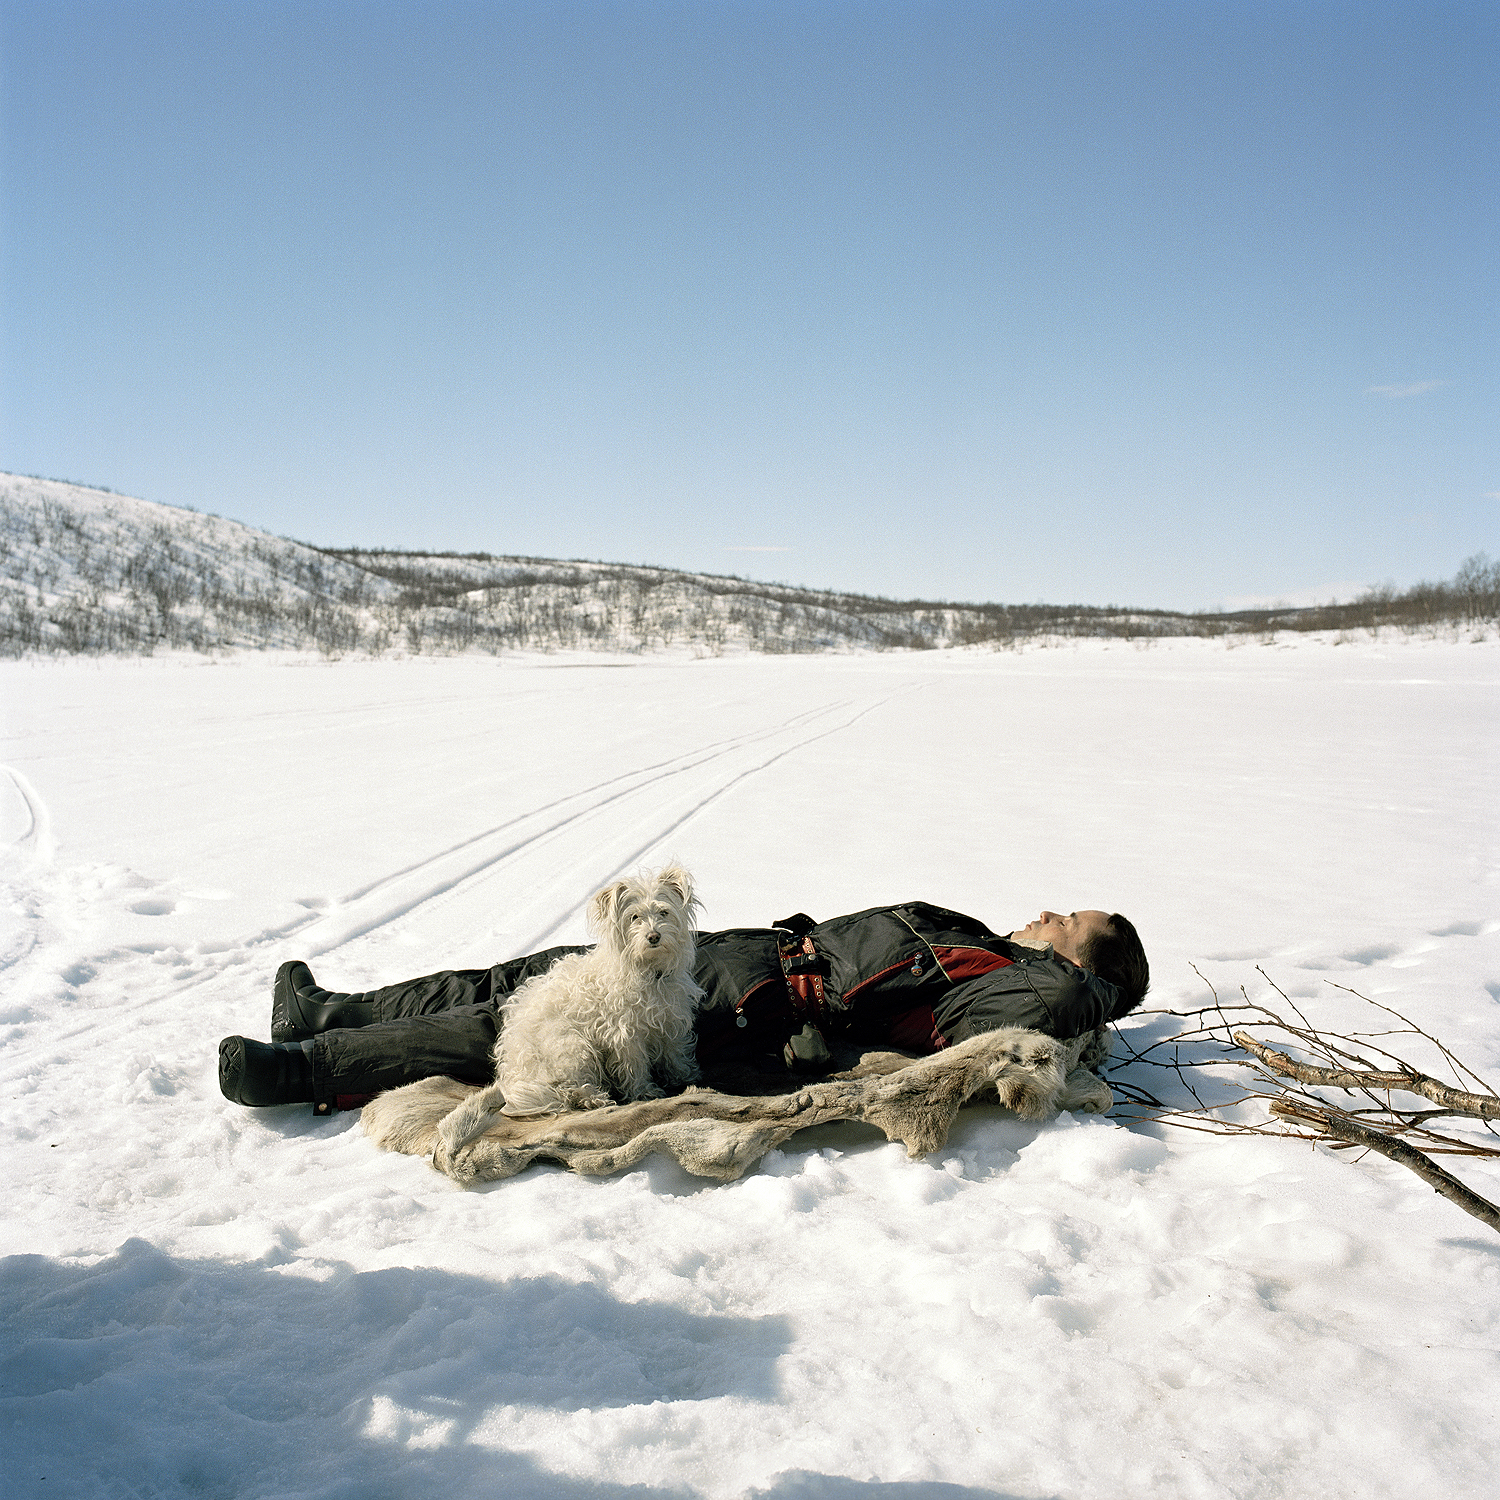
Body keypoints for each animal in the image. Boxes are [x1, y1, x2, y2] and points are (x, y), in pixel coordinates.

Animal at [438, 864, 705, 1152]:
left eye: (663, 912)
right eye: (635, 917)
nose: (654, 936)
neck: (649, 971)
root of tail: (516, 1074)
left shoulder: (670, 1019)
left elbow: (674, 1052)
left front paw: (685, 1074)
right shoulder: (625, 1034)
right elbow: (635, 1067)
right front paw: (645, 1091)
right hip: (572, 1046)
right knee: (569, 1088)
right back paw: (594, 1098)